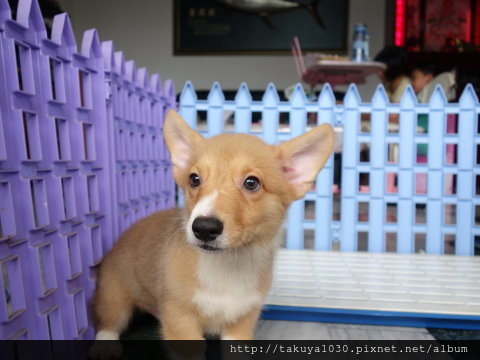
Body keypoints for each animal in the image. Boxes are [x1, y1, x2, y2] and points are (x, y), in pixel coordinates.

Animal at [93, 110, 334, 344]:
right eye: (194, 179)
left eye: (251, 183)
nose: (204, 228)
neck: (227, 265)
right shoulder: (180, 319)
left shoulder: (242, 321)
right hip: (114, 296)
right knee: (108, 323)